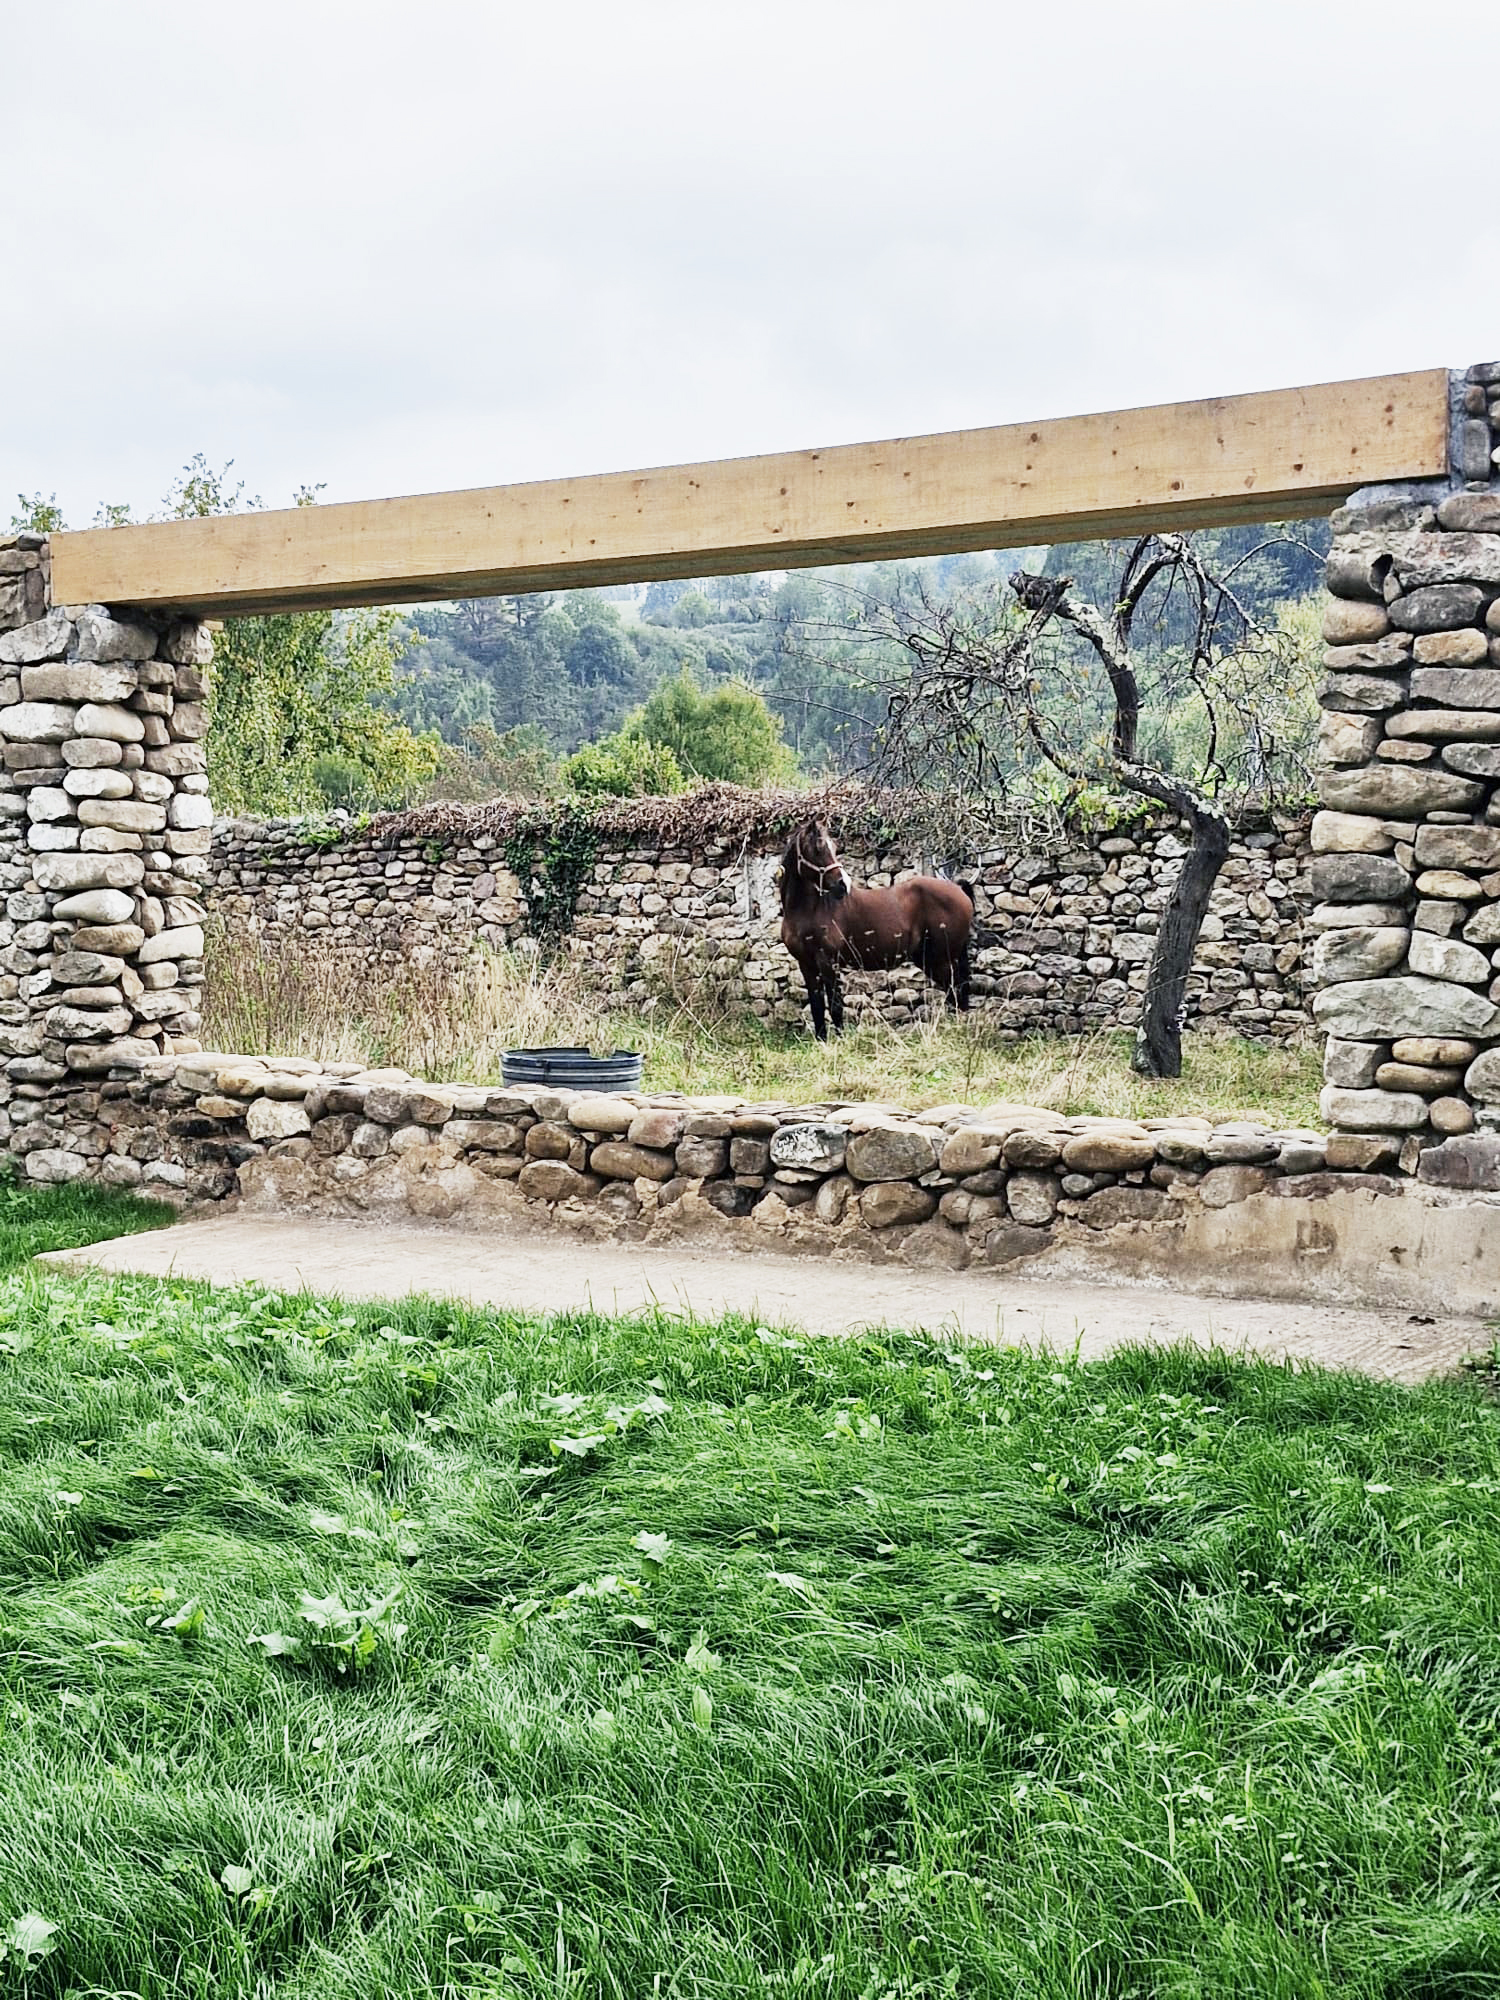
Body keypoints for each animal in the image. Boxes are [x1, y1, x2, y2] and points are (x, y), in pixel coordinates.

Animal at [777, 817, 976, 1040]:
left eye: (834, 847)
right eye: (818, 848)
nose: (843, 885)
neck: (809, 910)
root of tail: (958, 889)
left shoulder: (829, 963)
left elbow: (835, 1006)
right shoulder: (806, 964)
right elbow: (817, 1007)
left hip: (943, 960)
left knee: (955, 992)